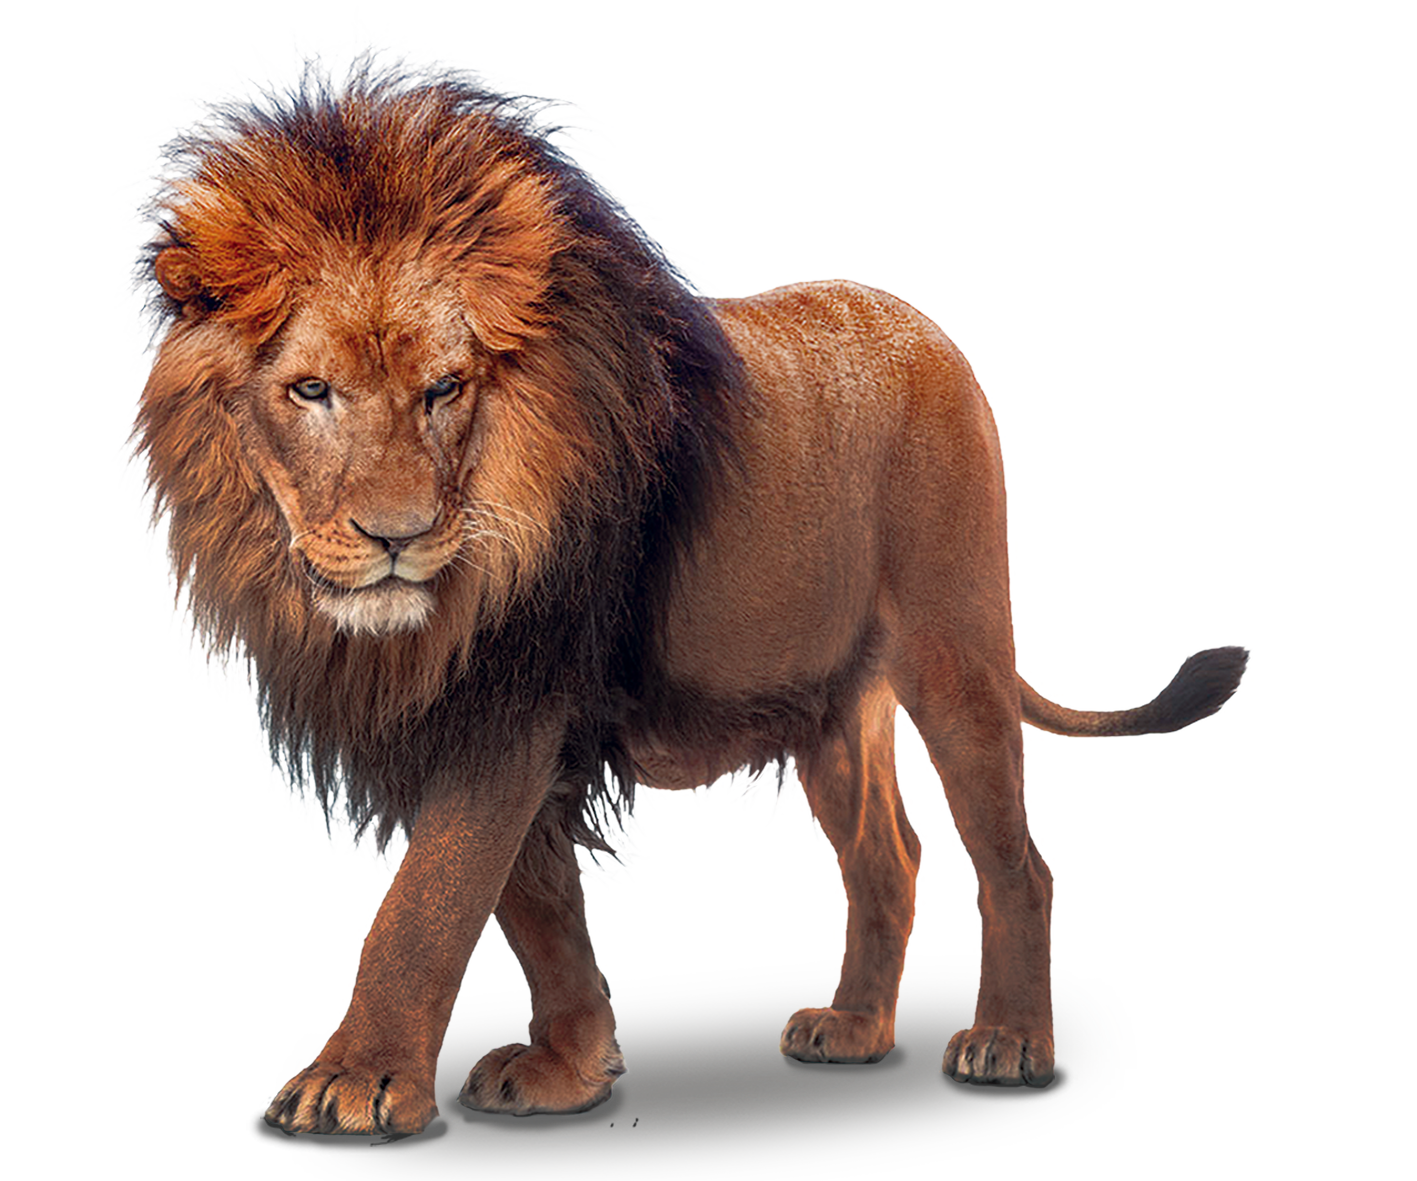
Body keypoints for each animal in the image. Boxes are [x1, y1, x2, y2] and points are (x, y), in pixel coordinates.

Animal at [118, 29, 1249, 1136]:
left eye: (444, 388)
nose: (397, 538)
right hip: (827, 699)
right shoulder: (488, 707)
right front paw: (570, 1067)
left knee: (1017, 858)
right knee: (888, 855)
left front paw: (353, 1078)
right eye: (310, 390)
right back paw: (852, 1028)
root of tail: (926, 327)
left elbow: (431, 894)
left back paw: (1010, 1043)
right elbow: (536, 903)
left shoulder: (516, 690)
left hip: (953, 642)